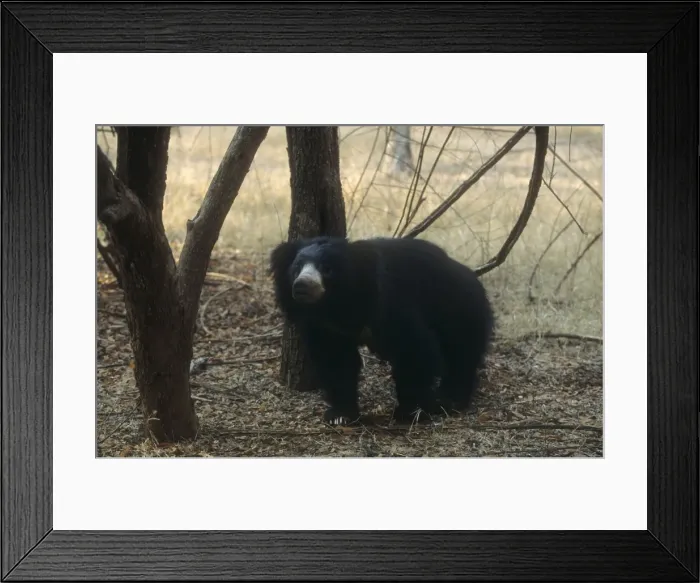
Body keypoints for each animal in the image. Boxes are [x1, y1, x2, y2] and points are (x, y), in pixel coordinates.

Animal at [269, 235, 494, 426]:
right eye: (296, 268)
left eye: (327, 269)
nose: (302, 286)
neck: (336, 306)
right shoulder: (326, 327)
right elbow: (335, 360)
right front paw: (340, 415)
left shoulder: (388, 305)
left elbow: (414, 348)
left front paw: (409, 412)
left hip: (458, 308)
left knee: (461, 351)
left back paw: (450, 399)